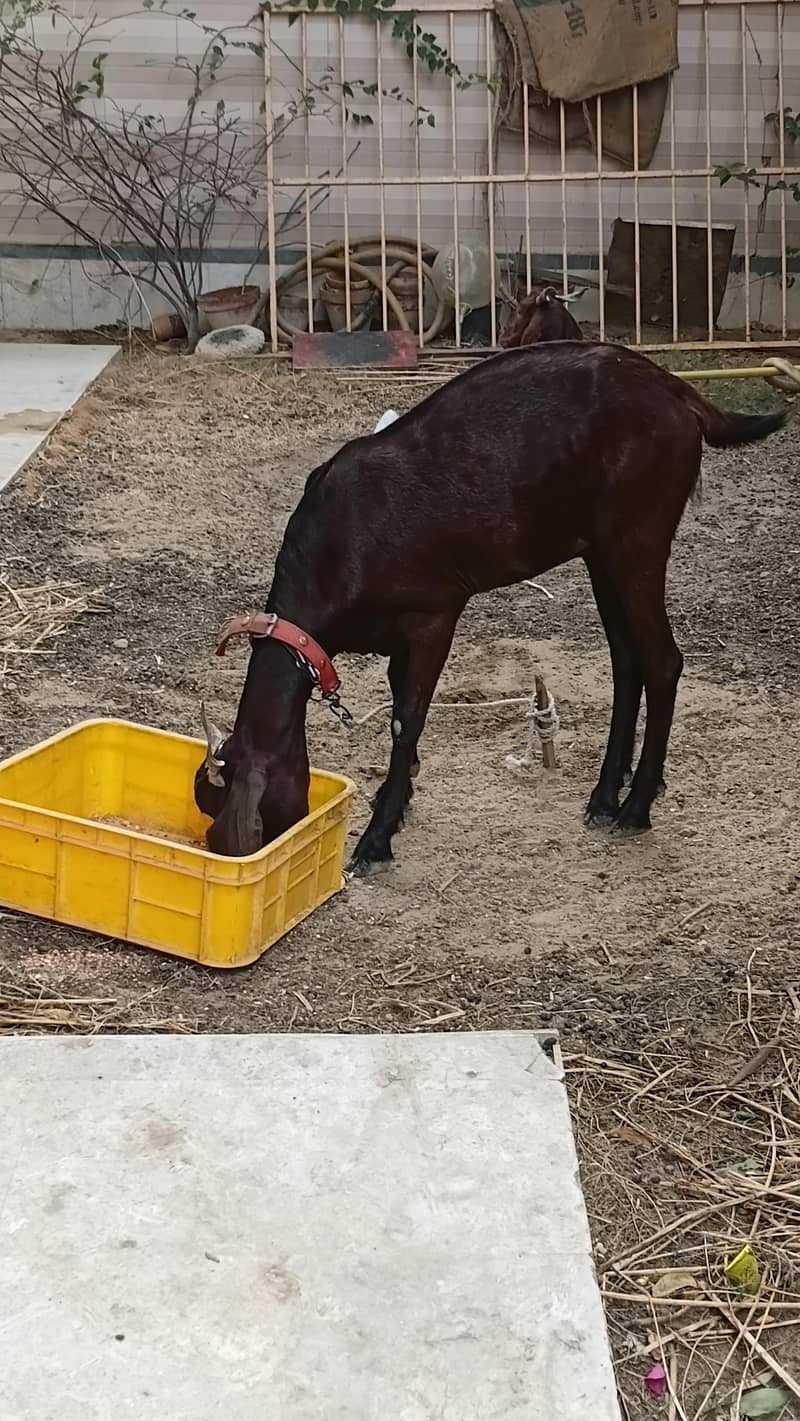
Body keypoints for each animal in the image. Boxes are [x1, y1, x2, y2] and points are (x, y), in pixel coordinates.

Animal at [195, 342, 785, 874]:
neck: (337, 548)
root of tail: (680, 393)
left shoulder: (434, 614)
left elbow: (406, 718)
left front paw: (376, 839)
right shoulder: (397, 638)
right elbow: (399, 703)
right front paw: (399, 799)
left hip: (638, 536)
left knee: (662, 661)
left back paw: (636, 807)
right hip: (600, 550)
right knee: (626, 661)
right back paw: (604, 795)